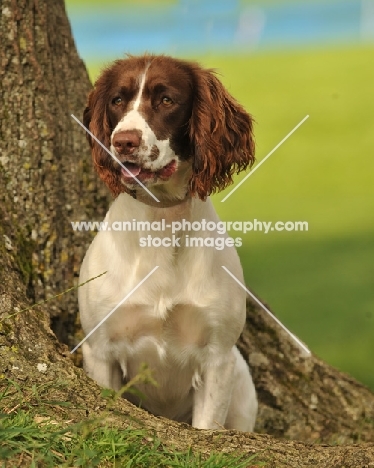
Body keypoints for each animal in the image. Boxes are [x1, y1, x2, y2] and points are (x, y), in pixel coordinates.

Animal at [78, 54, 260, 432]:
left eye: (166, 100)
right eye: (117, 100)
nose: (123, 141)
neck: (162, 223)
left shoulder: (218, 357)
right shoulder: (100, 348)